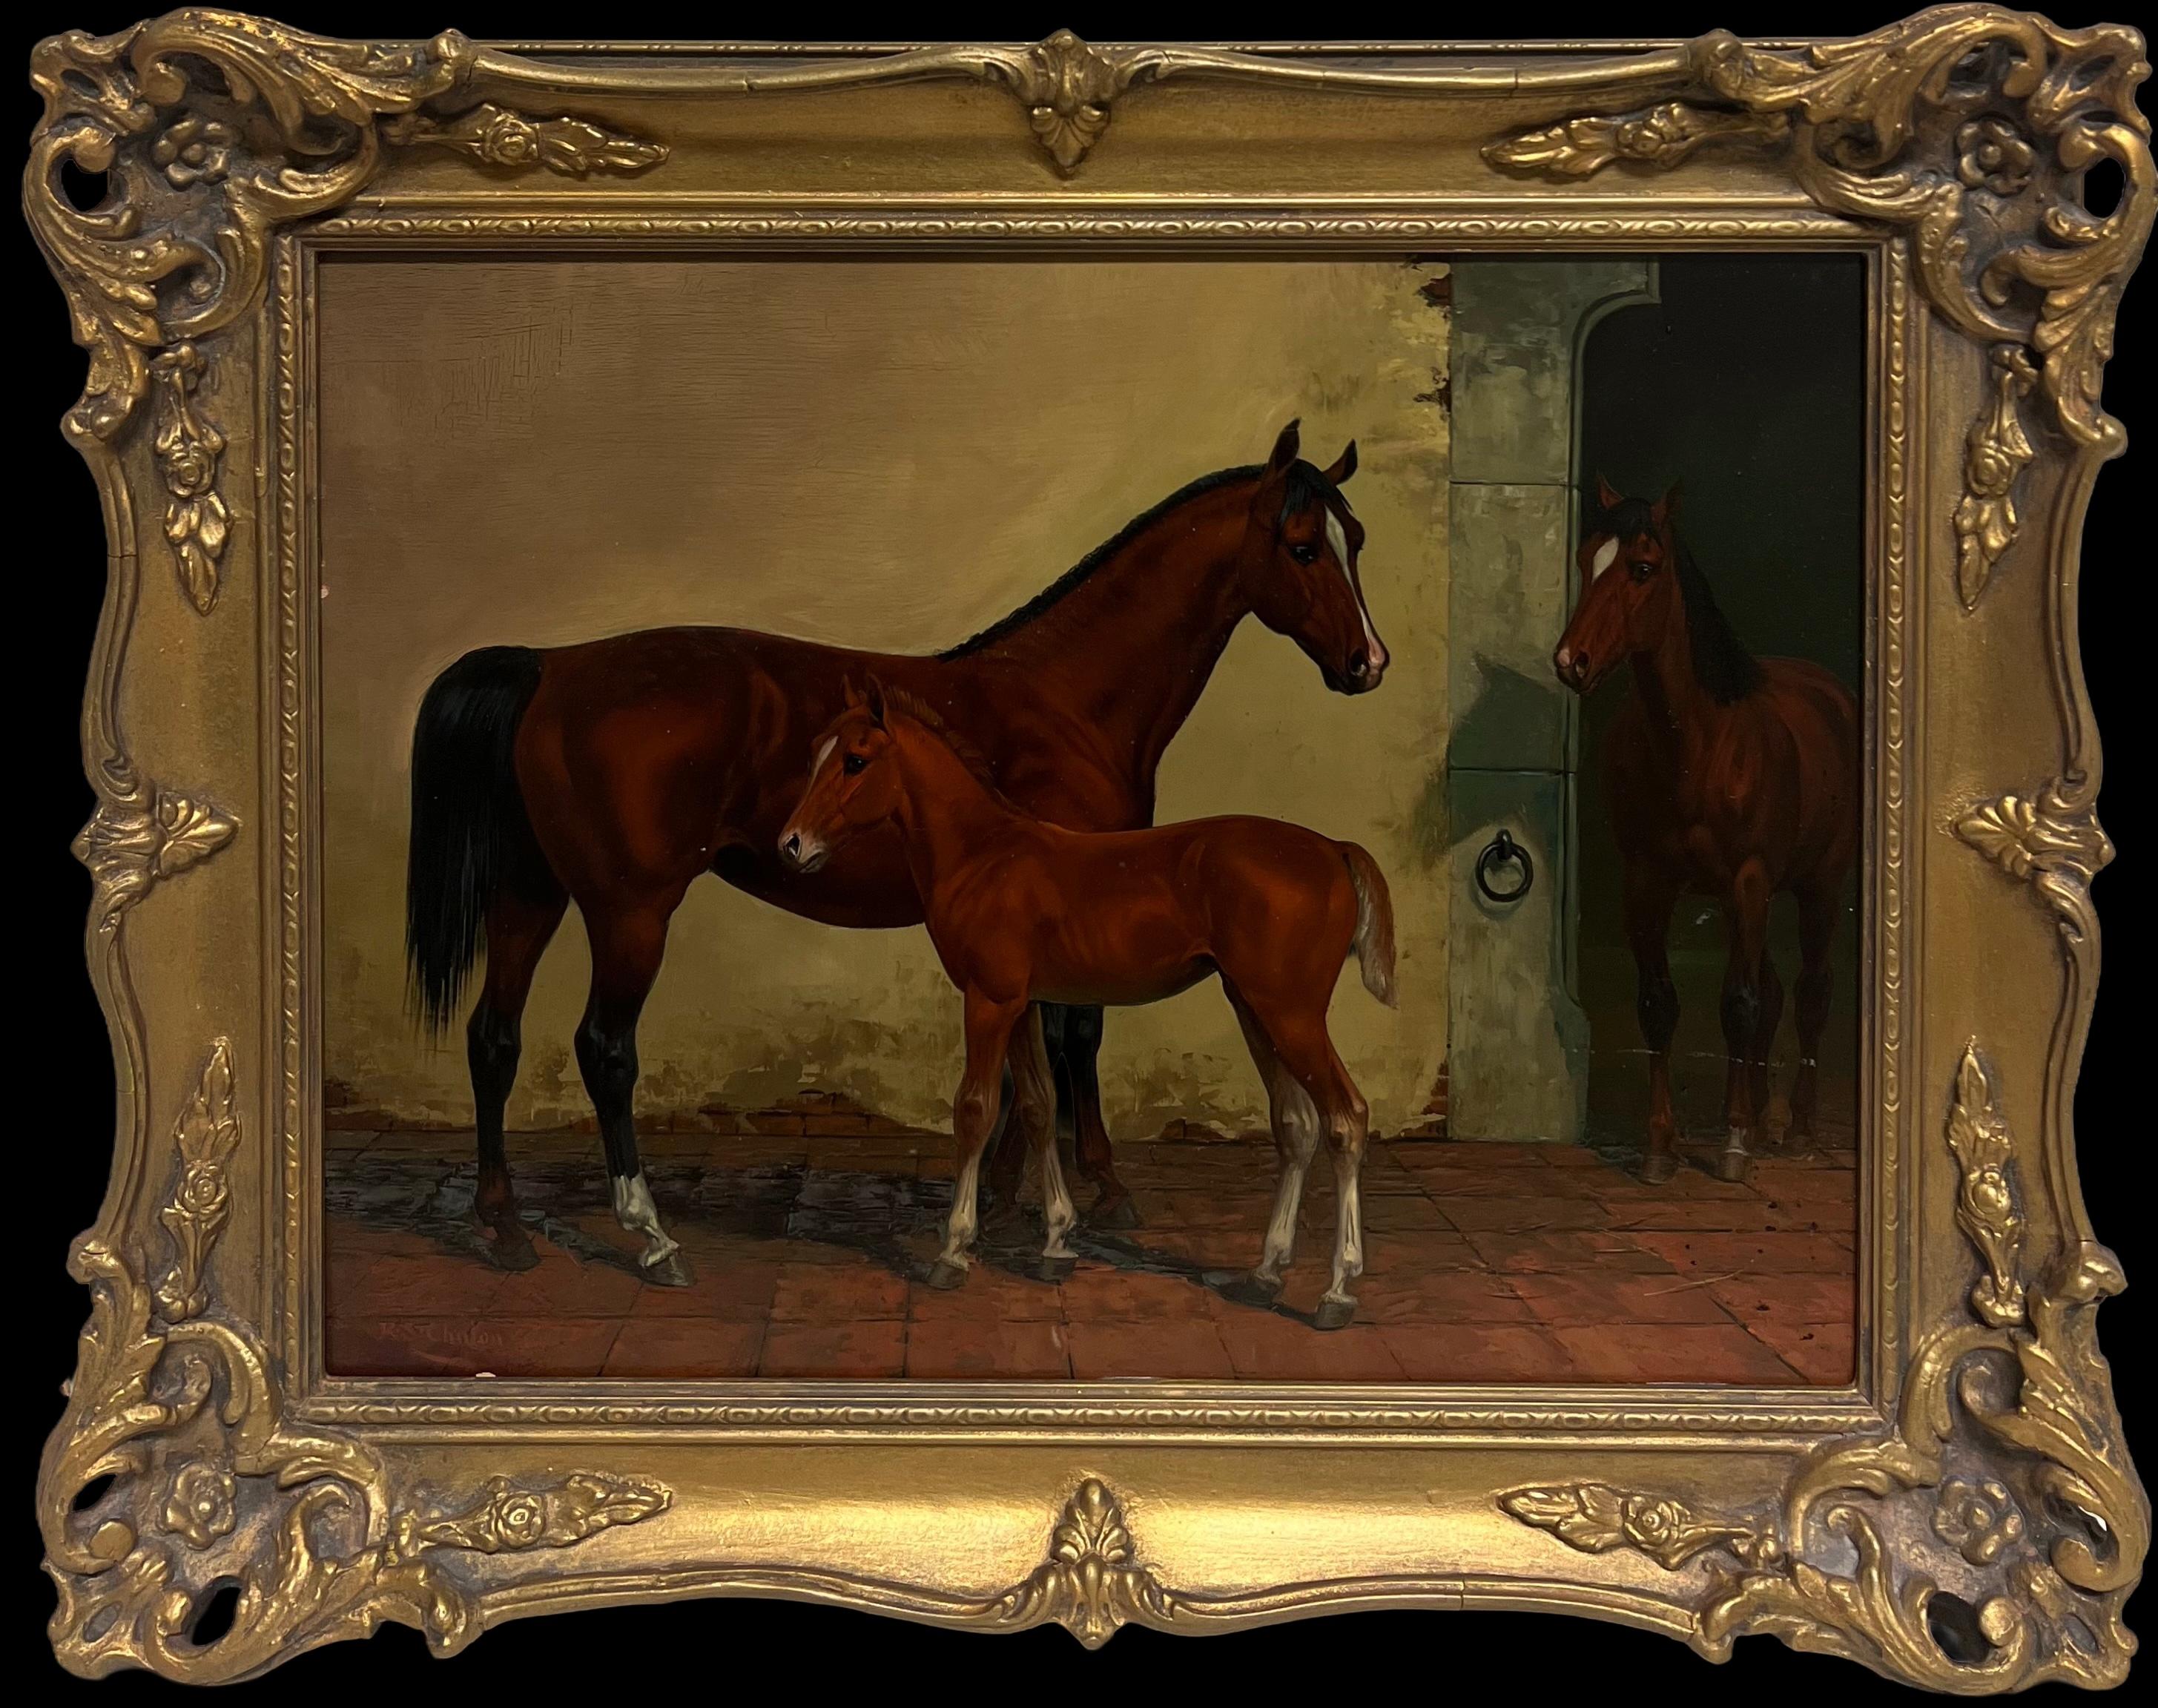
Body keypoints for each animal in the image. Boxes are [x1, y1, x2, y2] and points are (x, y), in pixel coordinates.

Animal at [777, 678, 1397, 1328]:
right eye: (815, 753)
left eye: (855, 760)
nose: (791, 844)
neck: (982, 854)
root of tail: (1333, 848)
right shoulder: (1023, 1004)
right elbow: (1039, 1106)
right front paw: (1055, 1241)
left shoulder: (989, 1000)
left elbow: (975, 1109)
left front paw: (953, 1251)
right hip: (1256, 1008)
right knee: (1296, 1125)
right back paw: (1265, 1272)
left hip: (1291, 1014)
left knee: (1346, 1119)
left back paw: (1337, 1290)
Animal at [1551, 478, 1858, 1184]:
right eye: (1585, 560)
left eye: (1643, 567)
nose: (1571, 661)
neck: (1699, 745)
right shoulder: (1648, 885)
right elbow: (1660, 1005)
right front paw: (1661, 1146)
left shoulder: (1749, 880)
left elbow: (1738, 1006)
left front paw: (1735, 1145)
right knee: (1774, 992)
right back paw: (1764, 1115)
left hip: (1817, 888)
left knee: (1809, 992)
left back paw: (1795, 1128)